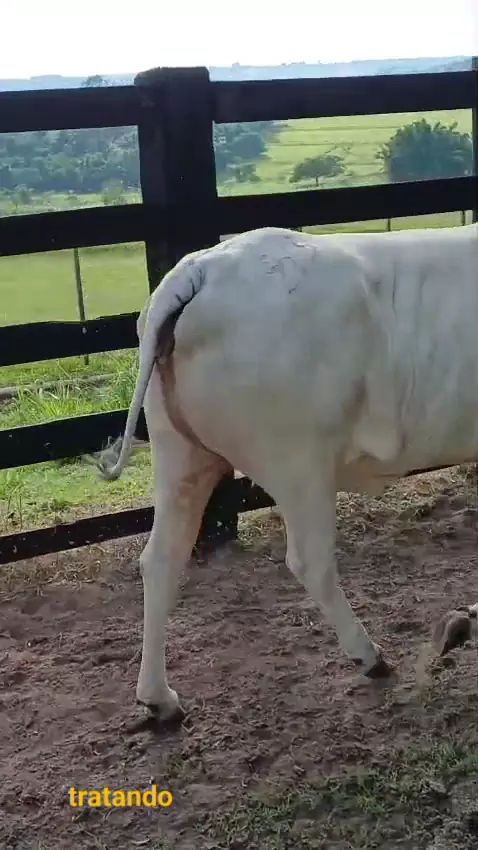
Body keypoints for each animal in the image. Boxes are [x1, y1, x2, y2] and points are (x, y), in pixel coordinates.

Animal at [90, 224, 478, 723]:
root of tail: (199, 269)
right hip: (299, 463)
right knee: (311, 561)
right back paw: (369, 656)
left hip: (181, 456)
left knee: (160, 561)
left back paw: (159, 699)